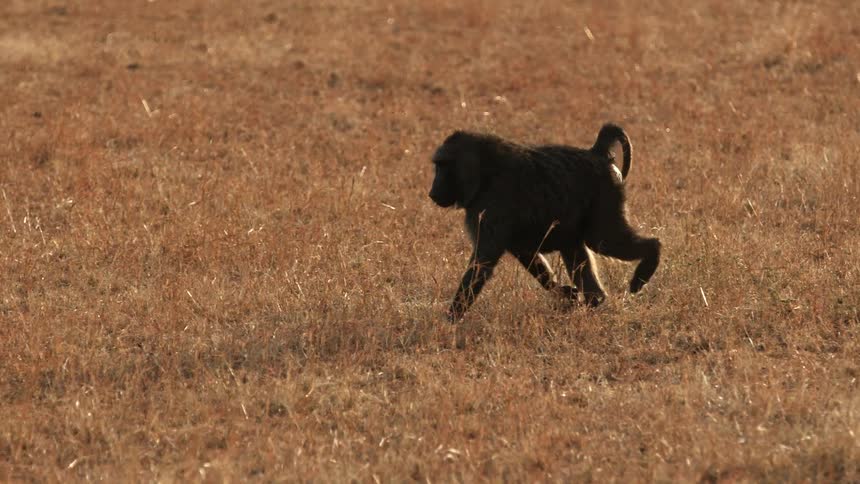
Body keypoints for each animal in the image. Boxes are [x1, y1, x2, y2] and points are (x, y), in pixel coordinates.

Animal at [428, 124, 660, 322]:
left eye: (443, 166)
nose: (432, 193)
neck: (485, 172)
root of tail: (595, 152)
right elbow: (527, 254)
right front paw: (566, 294)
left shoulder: (491, 207)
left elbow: (482, 263)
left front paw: (450, 319)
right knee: (575, 248)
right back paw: (594, 301)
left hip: (605, 197)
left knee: (604, 240)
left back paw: (645, 268)